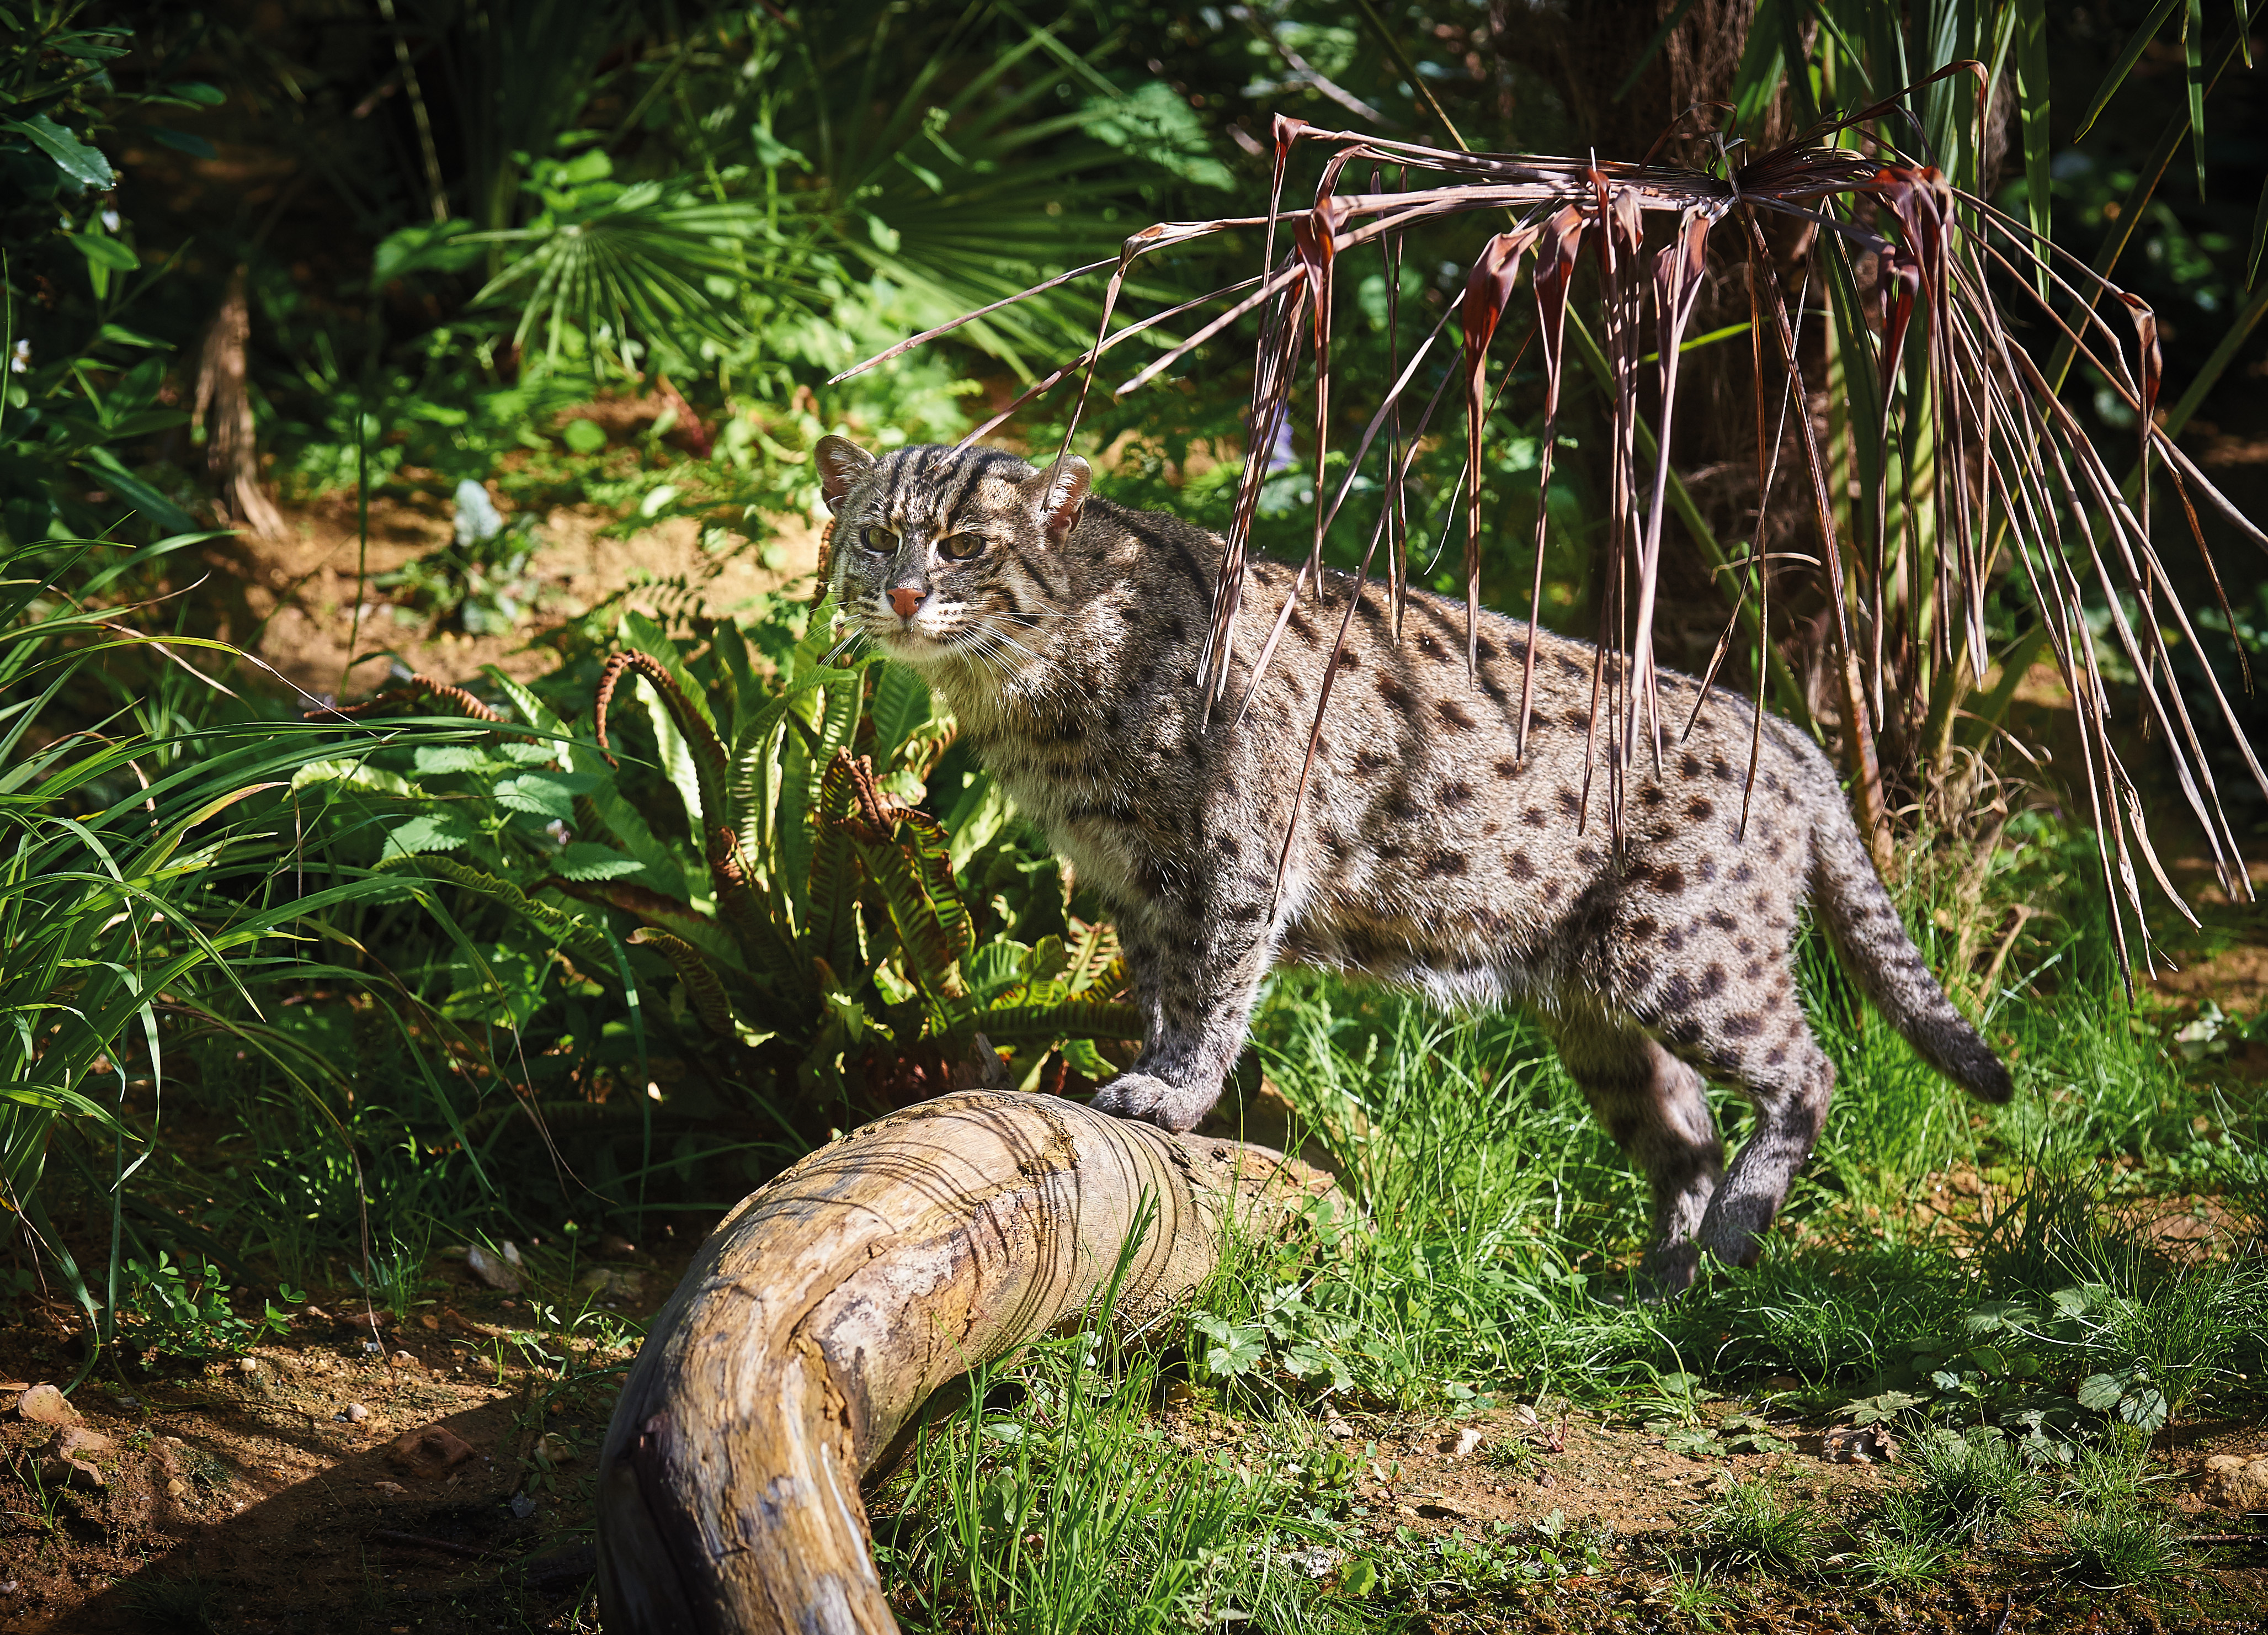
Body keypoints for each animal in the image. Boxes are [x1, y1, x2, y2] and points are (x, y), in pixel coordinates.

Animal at [812, 431, 2005, 1288]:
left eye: (966, 546)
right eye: (874, 536)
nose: (905, 592)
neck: (1037, 688)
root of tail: (1790, 733)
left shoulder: (1234, 857)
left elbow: (1212, 993)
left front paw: (1177, 1095)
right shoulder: (1132, 881)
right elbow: (1160, 989)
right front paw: (1148, 1074)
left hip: (1680, 948)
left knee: (1806, 1068)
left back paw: (1730, 1240)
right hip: (1595, 999)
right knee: (1685, 1129)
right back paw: (1658, 1280)